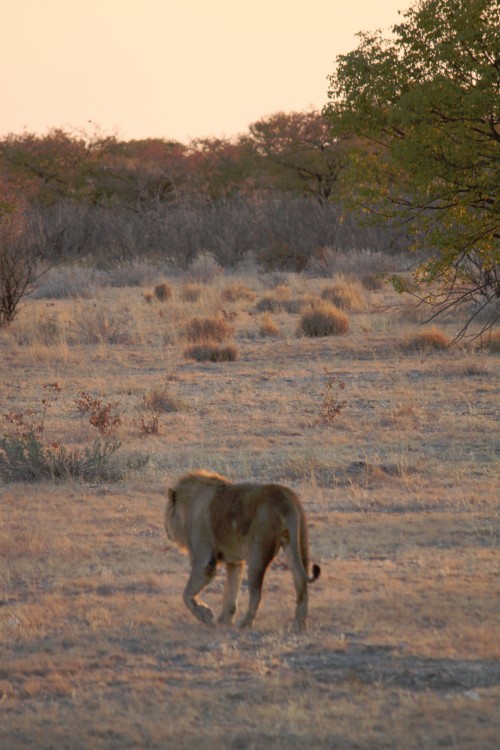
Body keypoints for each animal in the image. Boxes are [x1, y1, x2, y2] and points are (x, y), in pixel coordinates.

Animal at [164, 472, 320, 632]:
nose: (167, 531)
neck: (189, 505)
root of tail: (285, 498)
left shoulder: (204, 559)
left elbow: (186, 594)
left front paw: (206, 615)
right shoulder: (234, 561)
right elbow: (231, 592)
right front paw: (223, 621)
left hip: (258, 554)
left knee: (256, 594)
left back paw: (244, 623)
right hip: (298, 544)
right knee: (302, 586)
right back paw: (298, 625)